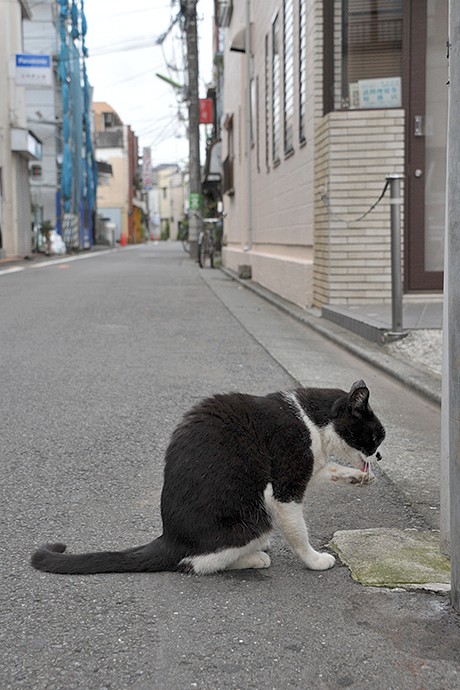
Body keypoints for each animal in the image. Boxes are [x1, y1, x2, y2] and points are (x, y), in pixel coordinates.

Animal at [30, 378, 384, 572]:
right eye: (376, 437)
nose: (379, 456)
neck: (311, 420)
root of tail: (170, 538)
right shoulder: (286, 483)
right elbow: (298, 531)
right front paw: (314, 560)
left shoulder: (311, 464)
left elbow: (328, 469)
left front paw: (358, 477)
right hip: (256, 518)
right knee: (197, 563)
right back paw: (255, 558)